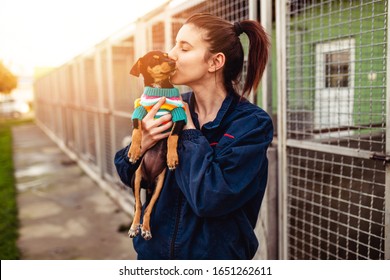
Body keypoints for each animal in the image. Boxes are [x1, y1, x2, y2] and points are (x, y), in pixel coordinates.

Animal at [125, 49, 185, 240]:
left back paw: (145, 229)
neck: (159, 89)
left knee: (149, 208)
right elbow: (137, 131)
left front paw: (171, 158)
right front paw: (134, 151)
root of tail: (149, 183)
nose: (173, 62)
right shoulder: (138, 110)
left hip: (159, 184)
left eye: (167, 55)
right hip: (136, 178)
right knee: (138, 205)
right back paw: (134, 227)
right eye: (155, 60)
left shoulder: (179, 115)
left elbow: (172, 137)